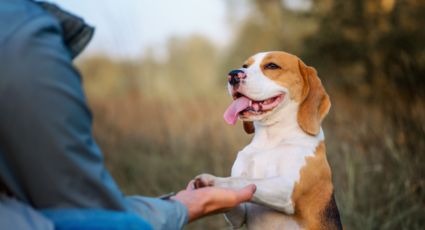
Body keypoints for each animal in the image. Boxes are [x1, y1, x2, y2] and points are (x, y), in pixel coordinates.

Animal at [195, 52, 342, 230]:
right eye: (245, 66)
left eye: (272, 66)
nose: (233, 75)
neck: (270, 139)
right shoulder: (239, 217)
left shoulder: (287, 189)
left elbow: (241, 180)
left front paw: (212, 180)